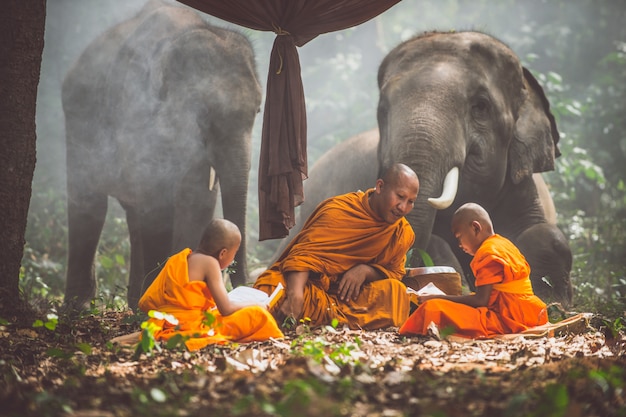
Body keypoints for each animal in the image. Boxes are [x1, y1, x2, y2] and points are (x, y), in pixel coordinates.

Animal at [61, 0, 260, 308]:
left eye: (257, 111)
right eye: (204, 115)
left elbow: (198, 201)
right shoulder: (136, 110)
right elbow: (156, 203)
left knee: (132, 214)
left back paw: (133, 300)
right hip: (78, 120)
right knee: (90, 204)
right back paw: (78, 307)